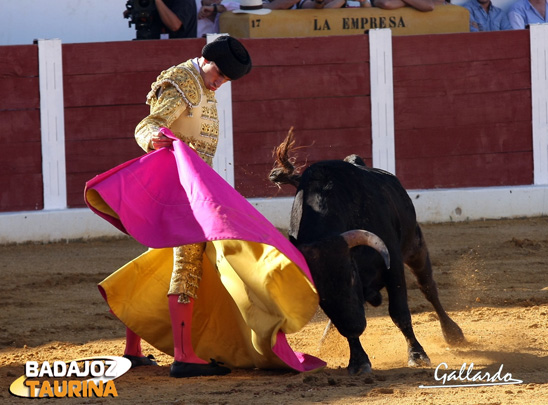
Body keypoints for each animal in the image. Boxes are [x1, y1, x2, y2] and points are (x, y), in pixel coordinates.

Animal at [268, 134, 464, 374]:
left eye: (352, 276)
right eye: (318, 293)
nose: (356, 326)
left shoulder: (393, 264)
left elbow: (400, 312)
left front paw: (417, 355)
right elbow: (342, 322)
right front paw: (358, 360)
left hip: (415, 245)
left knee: (428, 287)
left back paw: (453, 333)